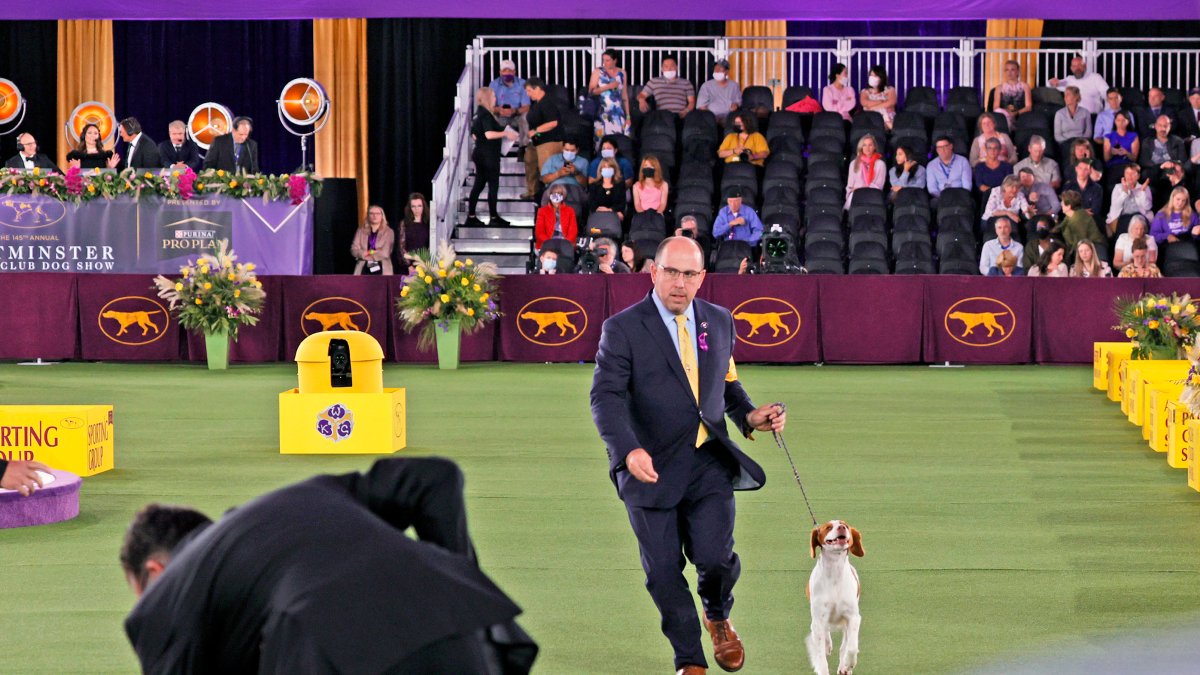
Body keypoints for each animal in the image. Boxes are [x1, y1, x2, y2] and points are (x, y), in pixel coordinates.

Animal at [806, 516, 864, 667]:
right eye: (828, 527)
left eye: (846, 526)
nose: (842, 527)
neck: (834, 574)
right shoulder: (819, 618)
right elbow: (821, 656)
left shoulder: (853, 616)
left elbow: (851, 647)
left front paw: (847, 665)